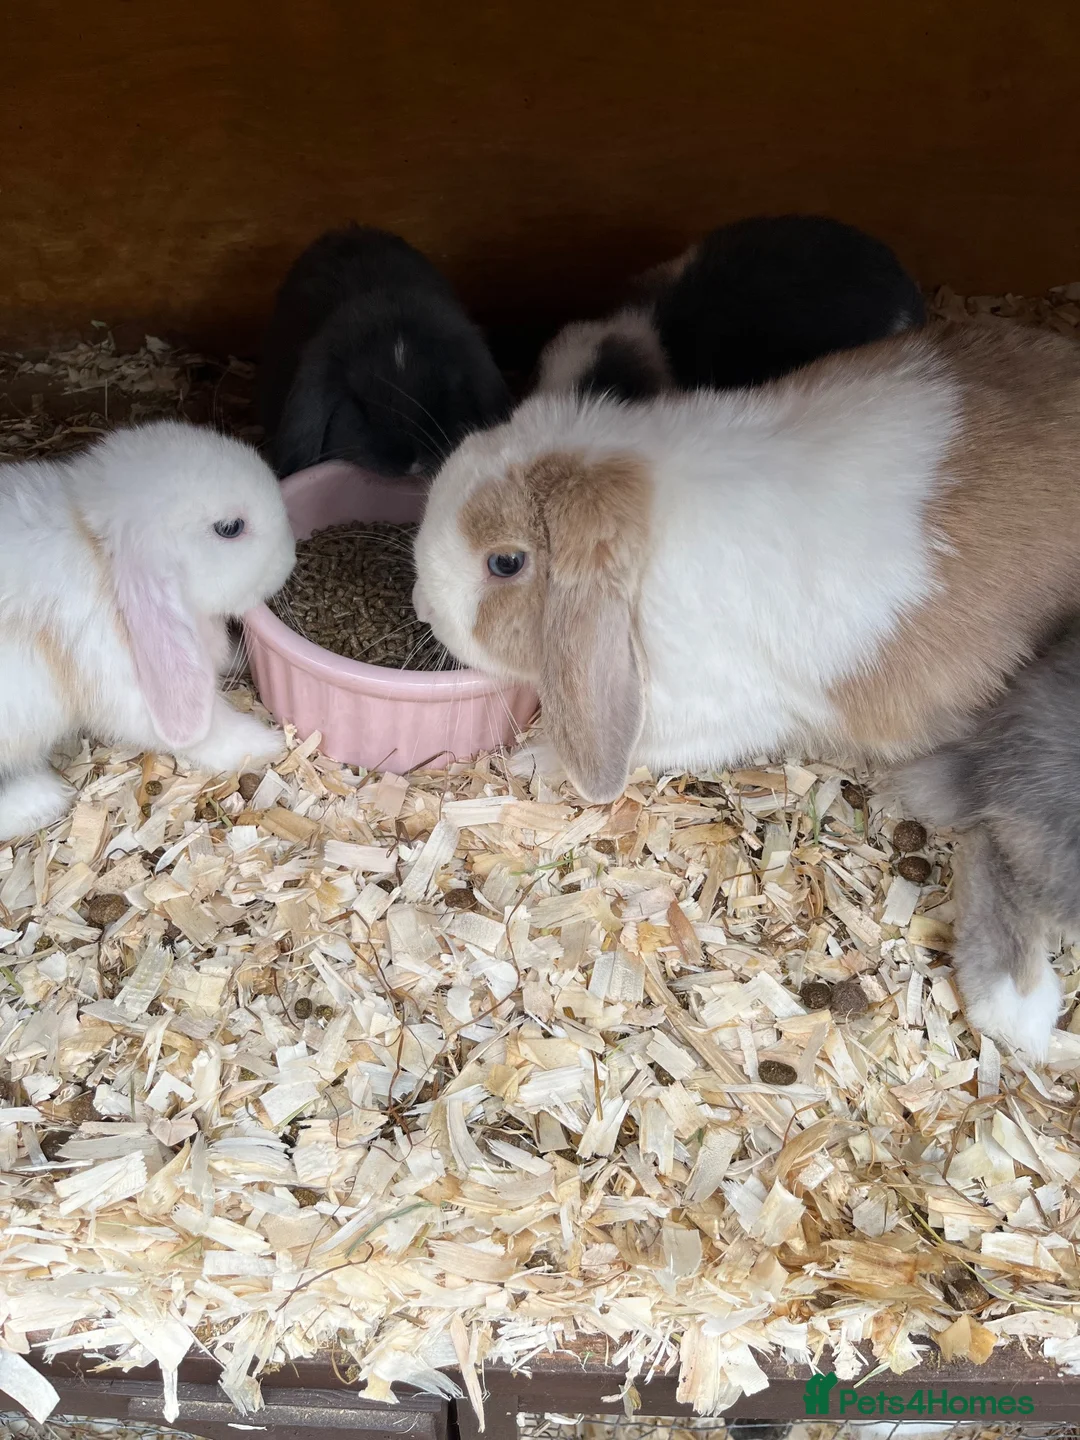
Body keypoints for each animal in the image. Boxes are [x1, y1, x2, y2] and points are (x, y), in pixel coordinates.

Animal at [0, 421, 296, 842]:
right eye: (230, 528)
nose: (292, 557)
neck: (98, 552)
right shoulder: (118, 676)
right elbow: (203, 730)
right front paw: (264, 743)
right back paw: (41, 800)